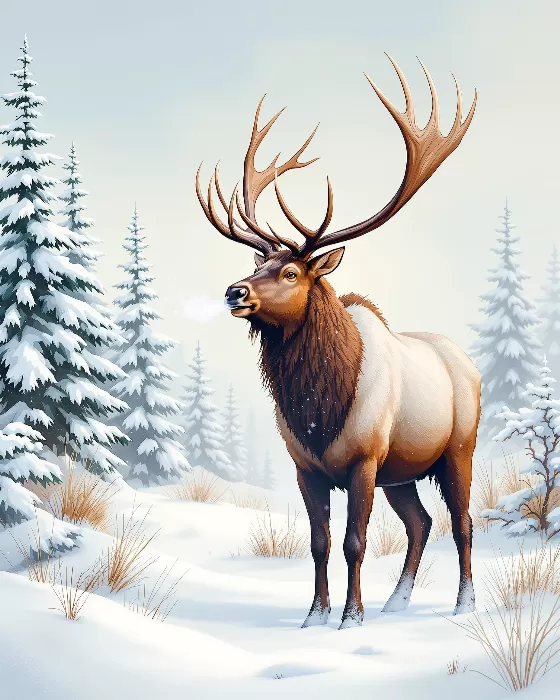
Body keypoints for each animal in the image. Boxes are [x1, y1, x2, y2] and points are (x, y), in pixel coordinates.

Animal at [196, 55, 480, 630]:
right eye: (257, 265)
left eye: (289, 272)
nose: (235, 291)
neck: (317, 406)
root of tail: (471, 366)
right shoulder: (306, 466)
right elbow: (319, 543)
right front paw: (314, 615)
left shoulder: (364, 461)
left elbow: (354, 542)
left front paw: (350, 616)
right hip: (403, 471)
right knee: (420, 522)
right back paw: (397, 601)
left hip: (457, 450)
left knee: (461, 521)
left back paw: (464, 603)